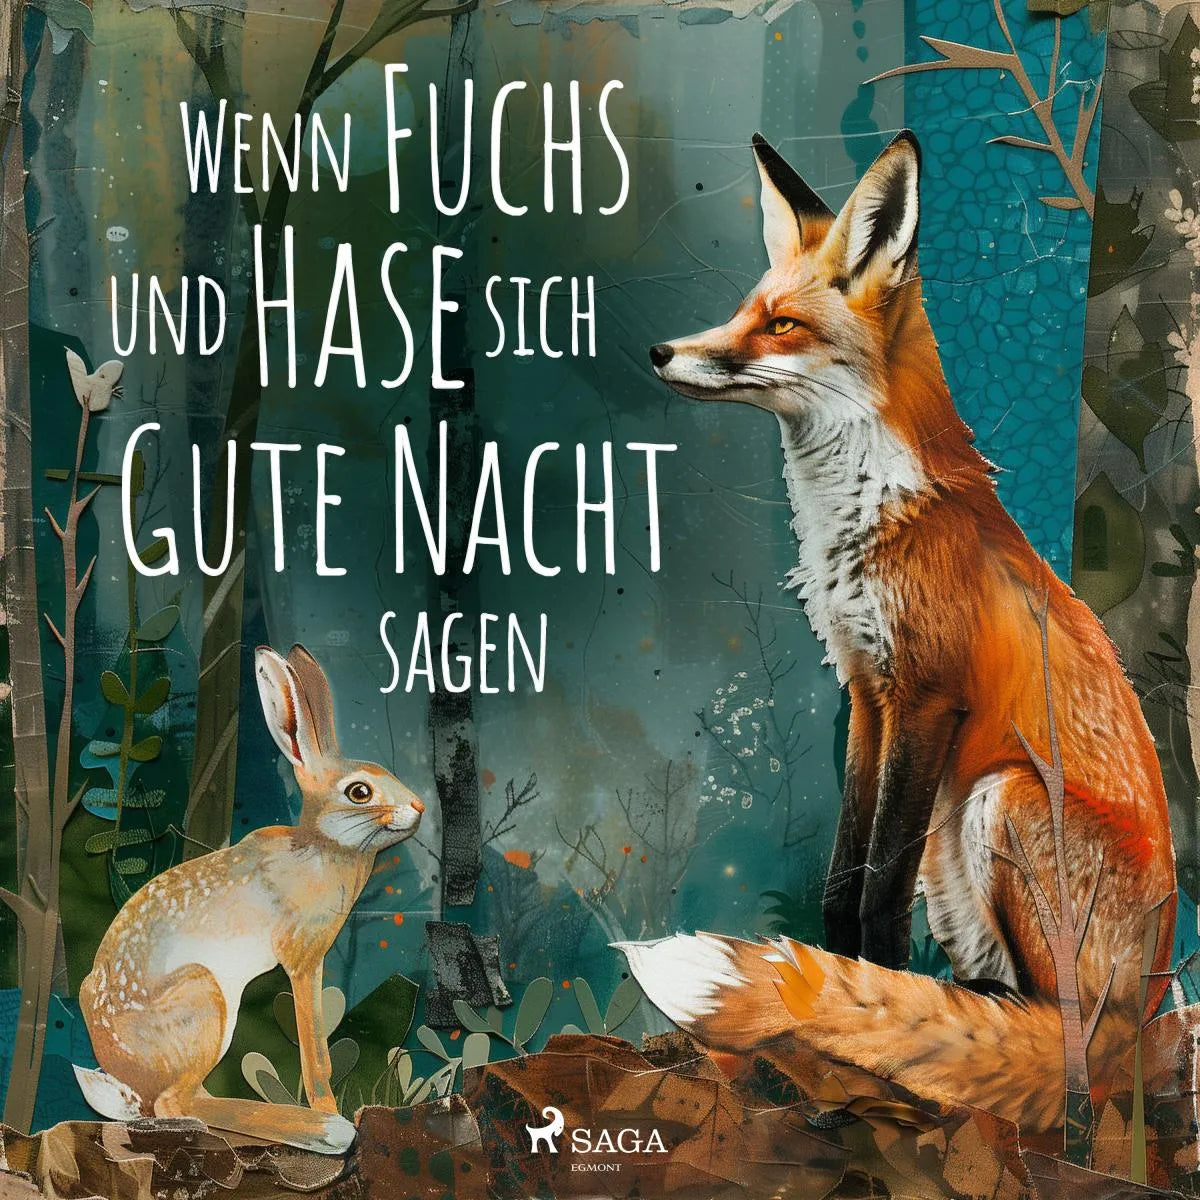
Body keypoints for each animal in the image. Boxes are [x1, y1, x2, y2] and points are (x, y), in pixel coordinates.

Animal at [74, 644, 426, 1154]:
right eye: (360, 791)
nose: (419, 807)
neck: (324, 846)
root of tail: (118, 1071)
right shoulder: (302, 960)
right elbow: (315, 1052)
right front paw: (329, 1110)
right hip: (205, 1002)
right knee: (175, 1103)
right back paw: (321, 1131)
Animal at [621, 130, 1178, 1132]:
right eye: (746, 310)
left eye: (781, 326)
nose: (659, 351)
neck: (870, 519)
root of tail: (1145, 1008)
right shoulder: (866, 692)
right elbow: (844, 879)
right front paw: (846, 993)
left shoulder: (929, 699)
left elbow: (878, 886)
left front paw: (863, 1004)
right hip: (957, 865)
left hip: (1002, 795)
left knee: (1069, 1047)